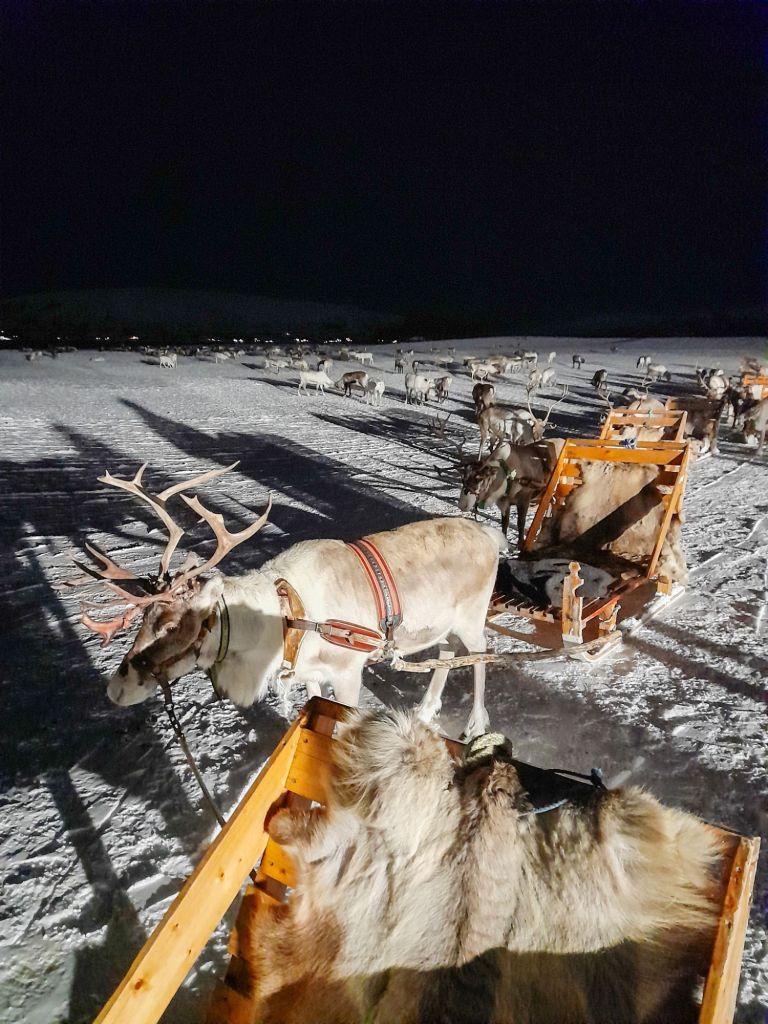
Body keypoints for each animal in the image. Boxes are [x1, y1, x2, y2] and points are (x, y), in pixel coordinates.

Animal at [72, 464, 504, 740]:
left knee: (482, 654)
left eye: (174, 625)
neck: (284, 620)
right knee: (448, 651)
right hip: (445, 623)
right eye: (144, 619)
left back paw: (476, 724)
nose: (115, 690)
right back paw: (426, 709)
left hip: (473, 617)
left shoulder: (347, 672)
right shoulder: (311, 675)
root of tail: (489, 535)